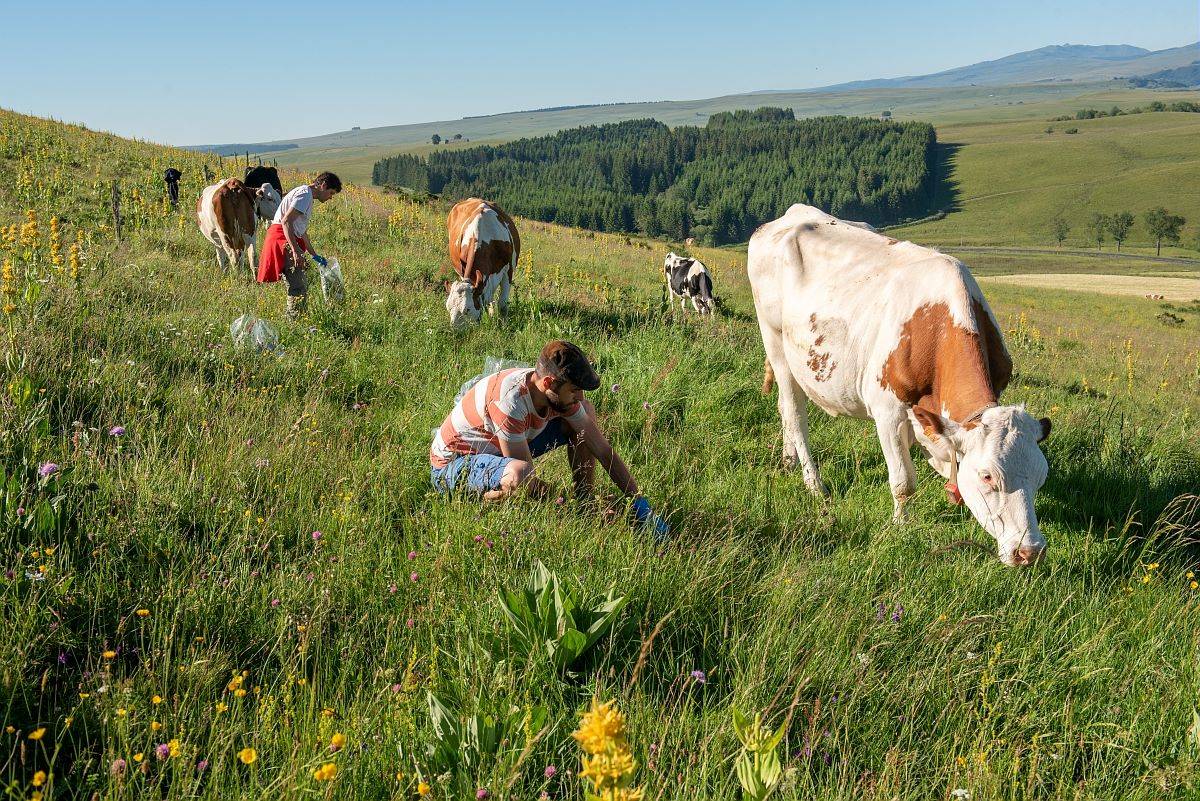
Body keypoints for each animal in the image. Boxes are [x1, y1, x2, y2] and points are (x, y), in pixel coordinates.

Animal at [441, 196, 516, 326]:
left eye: (467, 309)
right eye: (448, 307)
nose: (453, 330)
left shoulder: (508, 270)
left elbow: (502, 304)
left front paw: (503, 325)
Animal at [748, 206, 1051, 568]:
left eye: (1041, 475)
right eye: (988, 476)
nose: (1030, 551)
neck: (937, 331)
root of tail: (789, 215)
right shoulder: (888, 411)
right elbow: (904, 481)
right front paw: (901, 528)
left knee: (783, 407)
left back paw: (788, 460)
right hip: (775, 342)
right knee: (794, 413)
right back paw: (814, 484)